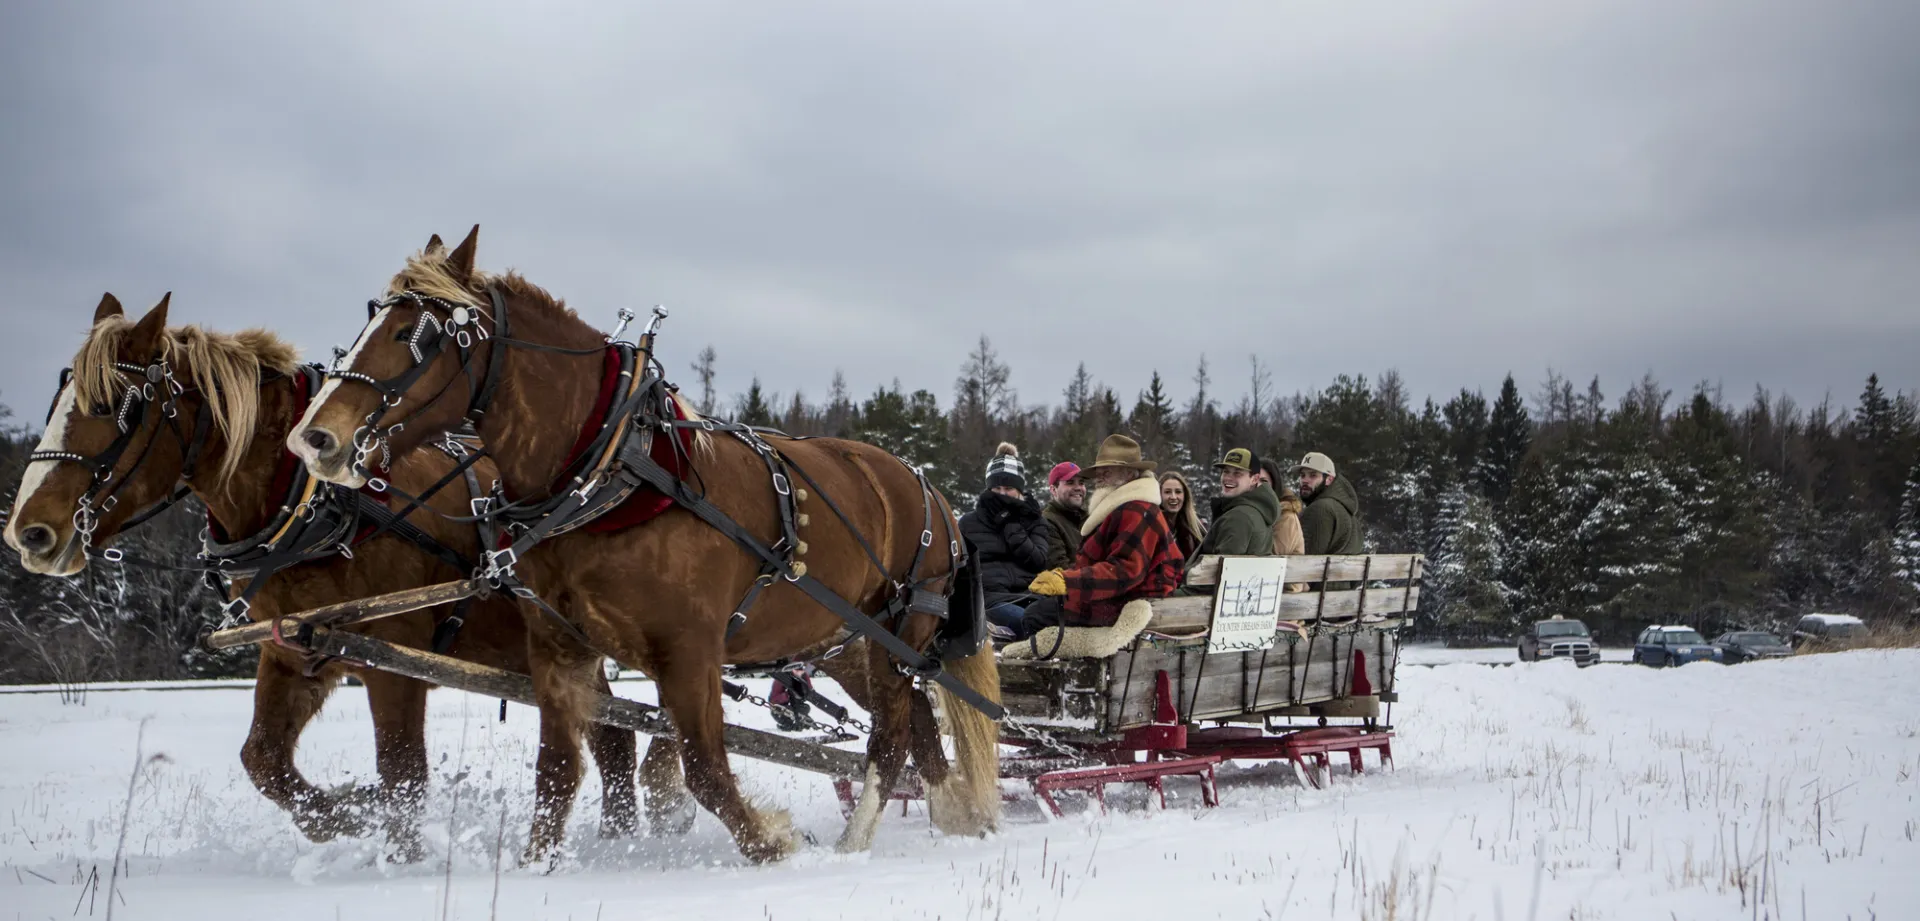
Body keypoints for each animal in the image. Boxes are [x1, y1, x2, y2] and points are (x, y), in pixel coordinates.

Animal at [1, 292, 661, 859]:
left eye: (114, 407)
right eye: (56, 405)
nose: (29, 533)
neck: (316, 504)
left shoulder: (392, 657)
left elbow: (402, 775)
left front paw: (398, 854)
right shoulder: (295, 649)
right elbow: (264, 761)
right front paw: (345, 816)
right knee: (614, 737)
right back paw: (621, 840)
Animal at [286, 227, 1002, 864]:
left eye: (419, 336)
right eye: (370, 322)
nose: (314, 438)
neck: (613, 471)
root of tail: (933, 493)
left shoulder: (690, 652)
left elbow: (707, 770)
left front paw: (773, 843)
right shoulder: (560, 650)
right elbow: (557, 774)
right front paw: (534, 867)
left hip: (899, 634)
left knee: (891, 738)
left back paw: (857, 844)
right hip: (860, 643)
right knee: (919, 727)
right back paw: (957, 816)